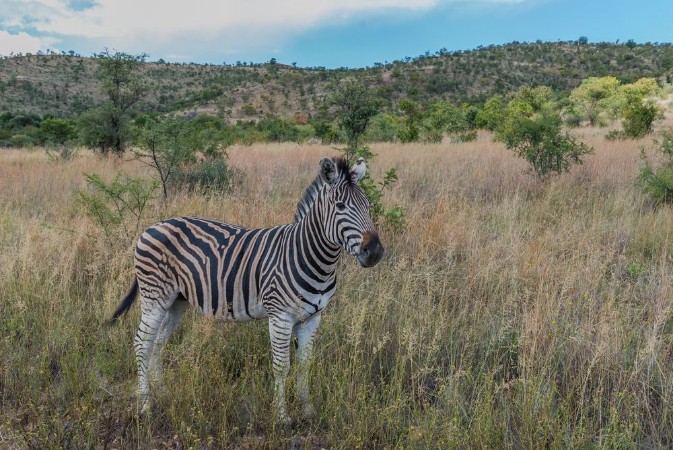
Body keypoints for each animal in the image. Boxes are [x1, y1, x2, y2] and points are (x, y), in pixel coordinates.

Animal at [108, 157, 384, 423]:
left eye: (367, 206)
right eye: (340, 207)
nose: (375, 252)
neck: (311, 257)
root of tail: (153, 226)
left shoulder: (313, 317)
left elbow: (305, 364)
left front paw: (308, 410)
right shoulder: (280, 317)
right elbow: (281, 366)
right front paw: (281, 416)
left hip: (177, 300)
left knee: (158, 342)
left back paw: (163, 393)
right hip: (154, 297)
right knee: (142, 342)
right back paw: (146, 405)